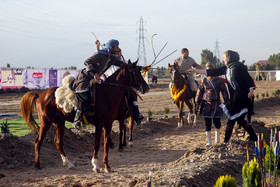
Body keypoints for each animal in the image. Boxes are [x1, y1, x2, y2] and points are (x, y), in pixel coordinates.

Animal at [20, 61, 149, 172]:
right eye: (136, 73)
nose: (146, 87)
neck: (107, 93)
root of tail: (41, 95)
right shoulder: (99, 124)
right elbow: (97, 144)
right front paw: (95, 165)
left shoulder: (108, 124)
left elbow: (106, 144)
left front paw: (107, 166)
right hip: (46, 122)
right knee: (38, 141)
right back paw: (37, 165)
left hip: (59, 122)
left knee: (58, 142)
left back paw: (68, 163)